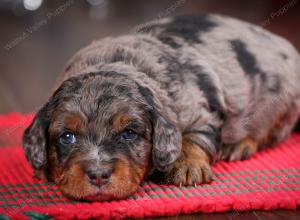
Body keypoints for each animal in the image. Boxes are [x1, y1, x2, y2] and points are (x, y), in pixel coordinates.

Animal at [22, 14, 300, 201]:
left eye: (129, 133)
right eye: (67, 136)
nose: (98, 174)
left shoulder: (202, 114)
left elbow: (194, 138)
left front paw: (188, 166)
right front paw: (43, 169)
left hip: (282, 105)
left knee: (270, 133)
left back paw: (239, 145)